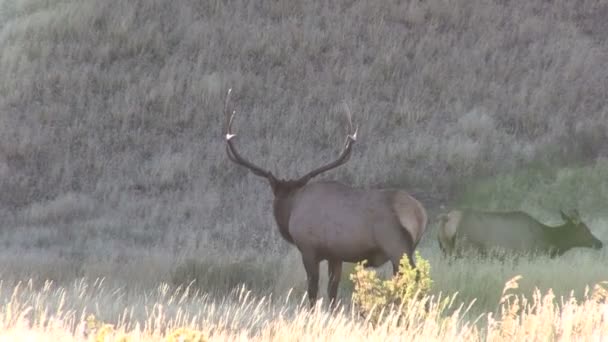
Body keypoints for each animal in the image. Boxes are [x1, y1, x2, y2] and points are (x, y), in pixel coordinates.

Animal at [222, 88, 428, 308]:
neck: (292, 208)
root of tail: (420, 213)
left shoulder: (308, 249)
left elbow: (312, 290)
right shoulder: (335, 255)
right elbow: (332, 292)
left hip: (396, 246)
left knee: (414, 278)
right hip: (407, 250)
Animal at [436, 207, 604, 258]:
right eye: (585, 229)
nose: (600, 243)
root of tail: (448, 219)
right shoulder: (526, 255)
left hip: (446, 251)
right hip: (468, 250)